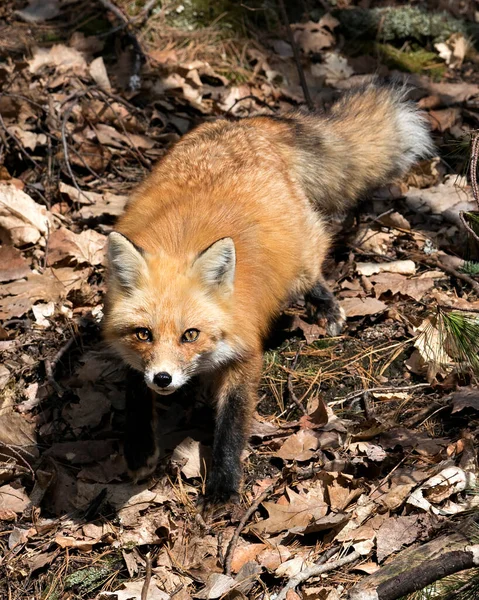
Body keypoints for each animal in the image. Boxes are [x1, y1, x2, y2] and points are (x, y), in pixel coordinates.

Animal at [105, 82, 436, 504]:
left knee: (312, 269)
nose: (163, 379)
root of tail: (247, 123)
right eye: (143, 334)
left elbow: (231, 426)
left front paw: (224, 484)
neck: (180, 244)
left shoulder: (245, 352)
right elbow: (134, 393)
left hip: (300, 253)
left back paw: (327, 308)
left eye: (190, 335)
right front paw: (139, 447)